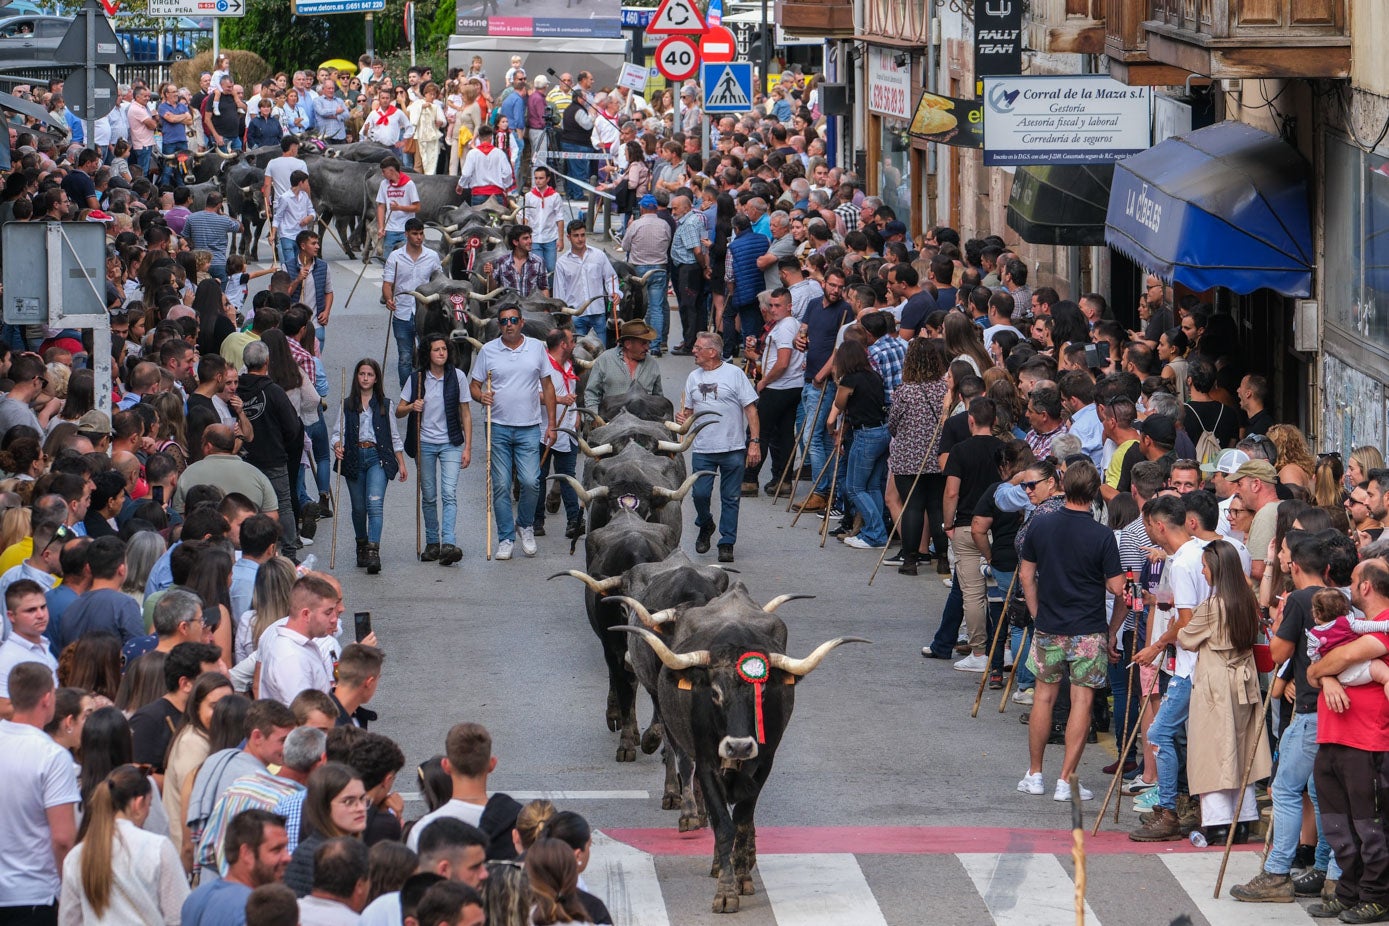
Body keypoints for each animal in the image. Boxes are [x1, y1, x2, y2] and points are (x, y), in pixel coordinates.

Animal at [622, 585, 866, 910]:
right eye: (714, 693)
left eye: (761, 692)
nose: (738, 746)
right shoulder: (707, 764)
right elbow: (723, 824)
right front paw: (725, 890)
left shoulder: (764, 764)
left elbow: (742, 821)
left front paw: (741, 876)